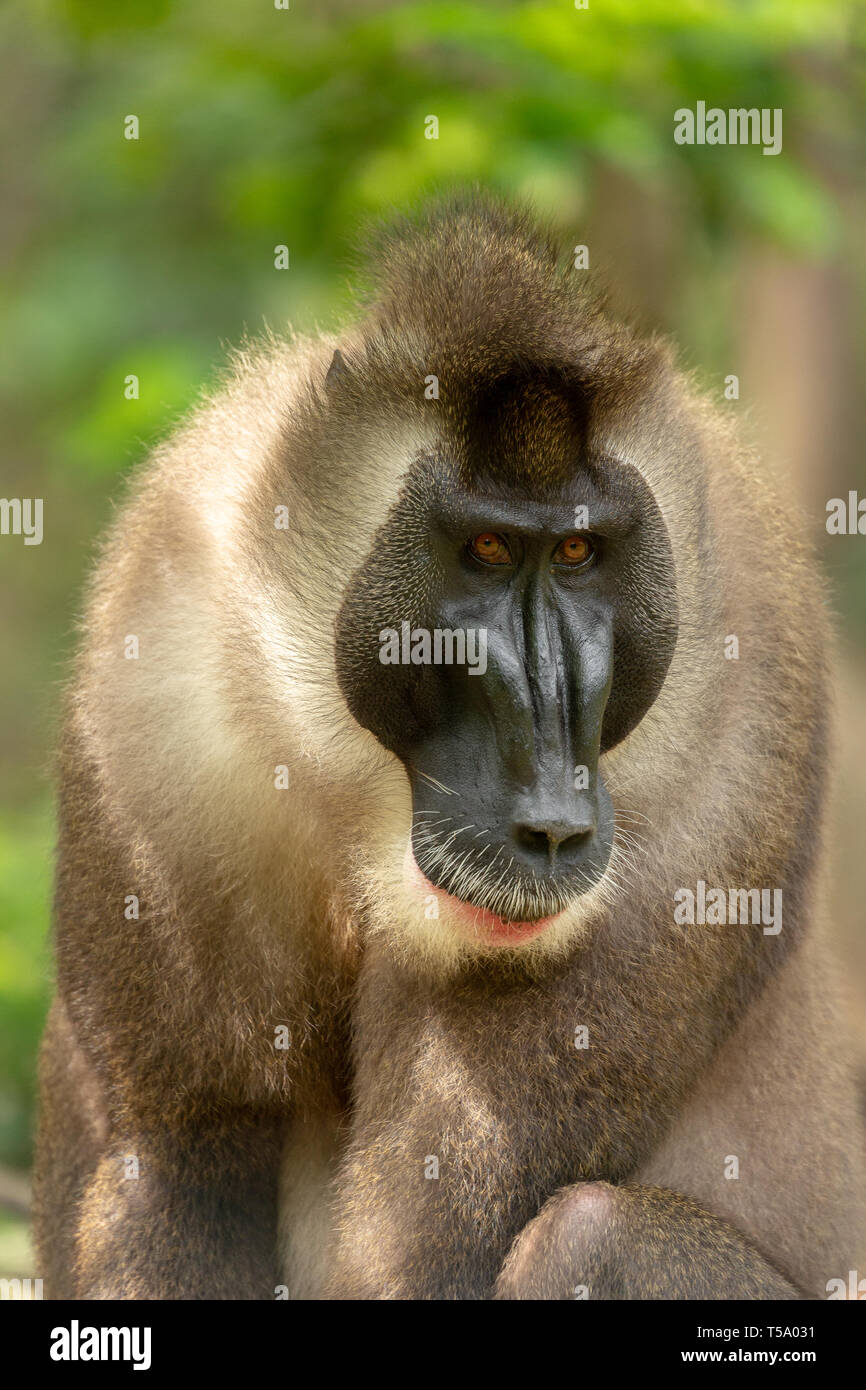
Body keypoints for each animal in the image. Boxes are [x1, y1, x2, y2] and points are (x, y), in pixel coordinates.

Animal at [33, 194, 866, 1300]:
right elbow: (172, 1154)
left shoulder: (736, 718)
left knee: (593, 1232)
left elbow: (416, 1252)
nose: (551, 821)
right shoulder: (158, 659)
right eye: (483, 550)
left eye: (577, 552)